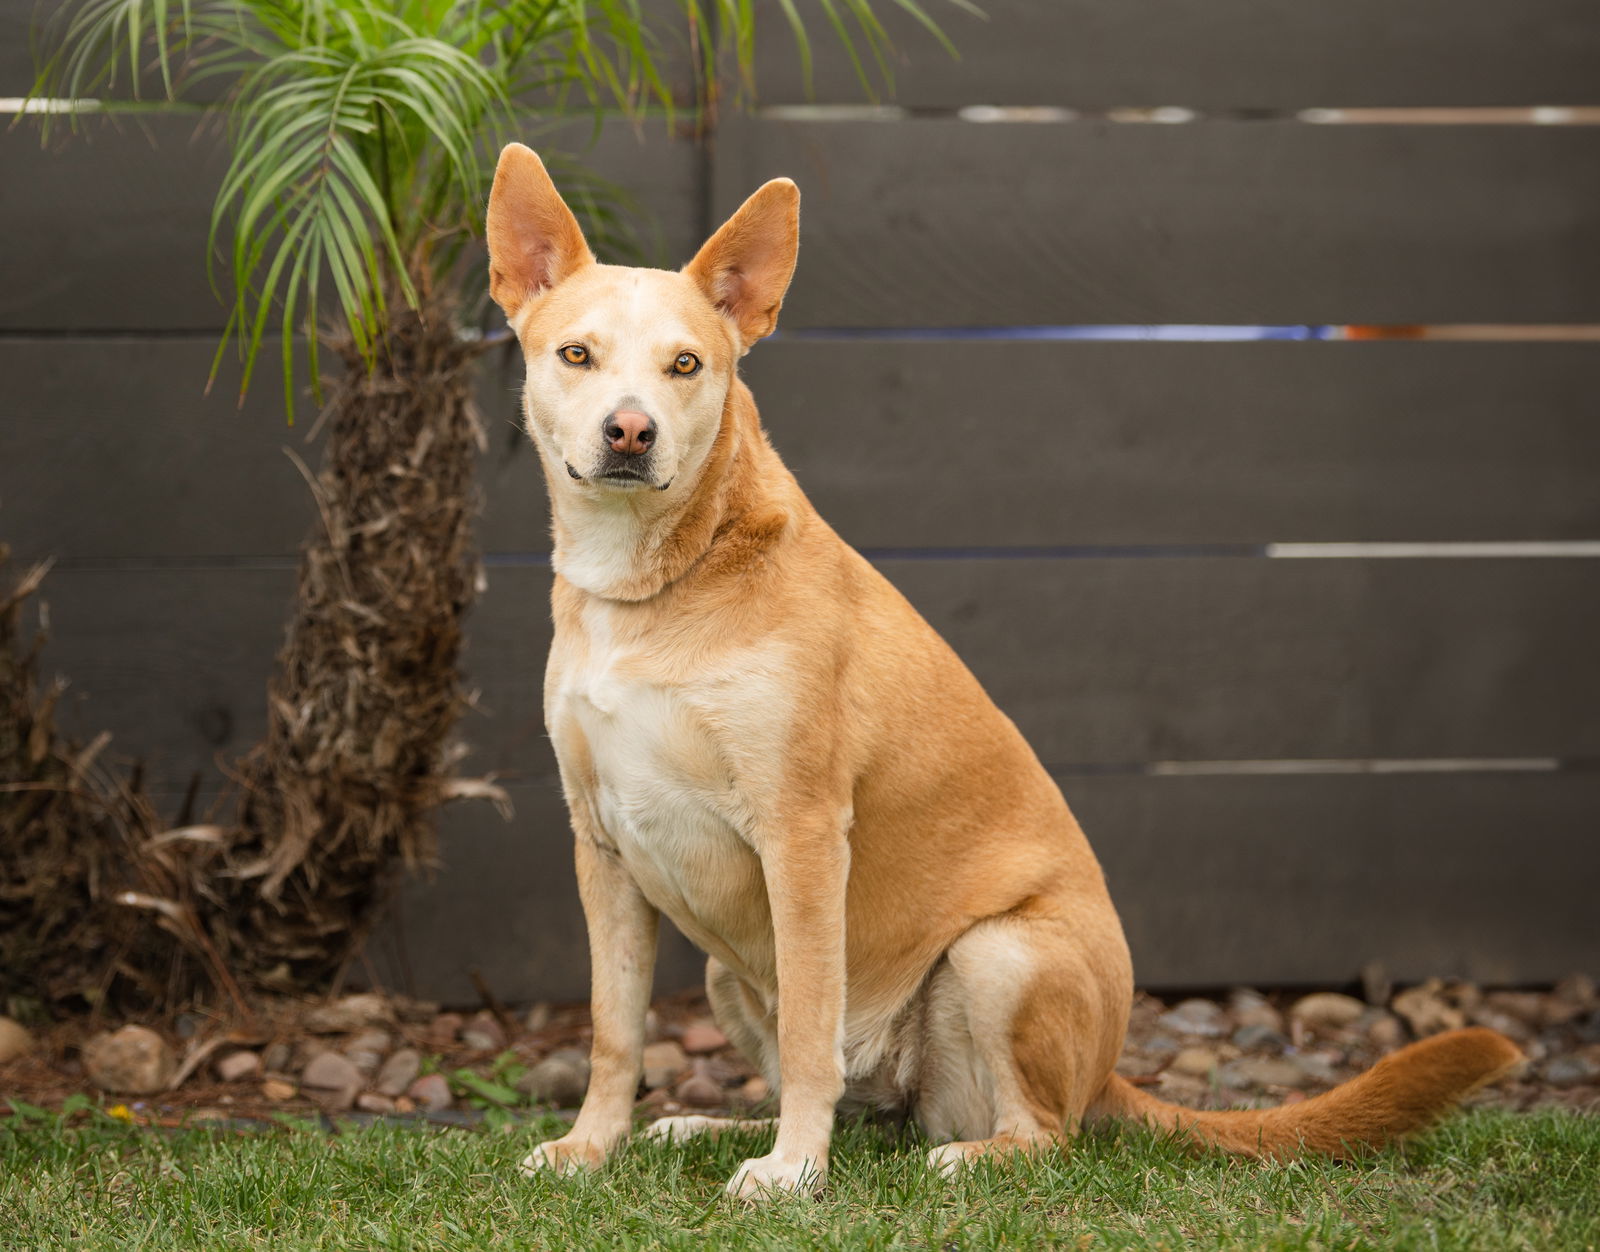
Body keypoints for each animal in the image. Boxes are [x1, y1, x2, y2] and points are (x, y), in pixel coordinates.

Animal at [480, 142, 1516, 1203]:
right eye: (577, 356)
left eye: (687, 365)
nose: (630, 432)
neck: (653, 588)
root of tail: (1108, 1072)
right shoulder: (601, 846)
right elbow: (614, 1031)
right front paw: (590, 1147)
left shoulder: (801, 836)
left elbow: (810, 1027)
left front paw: (794, 1174)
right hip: (734, 975)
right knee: (857, 1102)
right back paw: (709, 1127)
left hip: (999, 952)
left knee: (1036, 1132)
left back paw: (945, 1154)